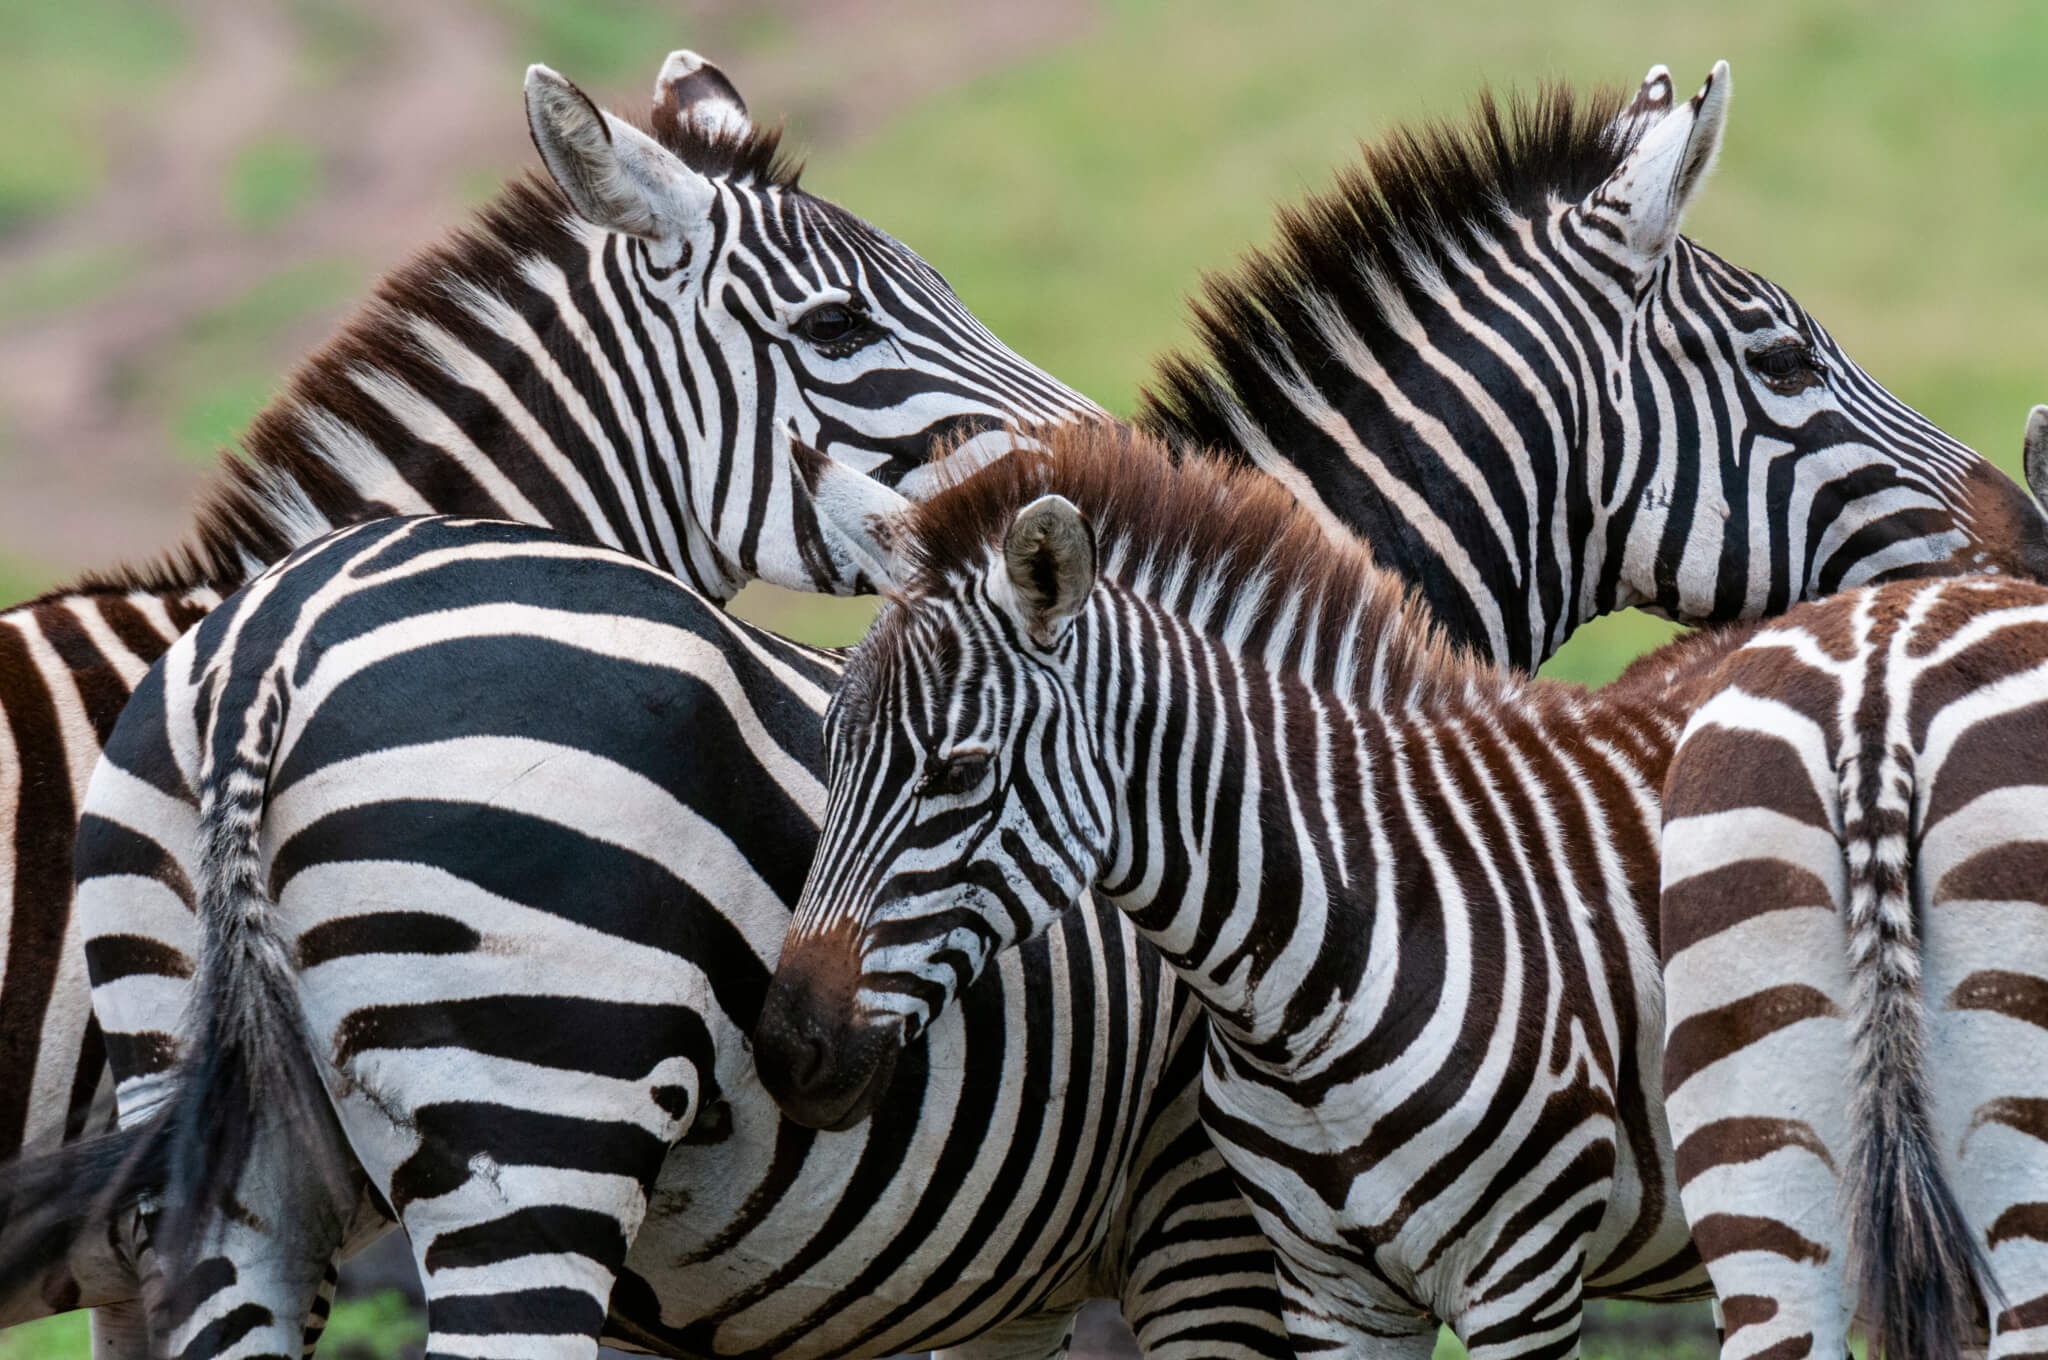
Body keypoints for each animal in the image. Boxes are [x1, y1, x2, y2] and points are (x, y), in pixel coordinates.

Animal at [3, 509, 1291, 1360]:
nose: (800, 1048)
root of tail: (270, 643)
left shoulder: (1010, 1290)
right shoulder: (1206, 1213)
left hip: (216, 1131)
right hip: (536, 1122)